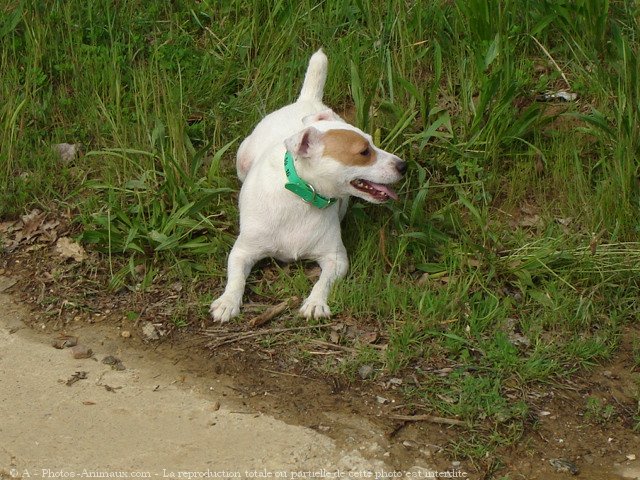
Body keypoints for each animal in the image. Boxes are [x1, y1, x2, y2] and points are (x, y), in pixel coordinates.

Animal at [212, 48, 408, 322]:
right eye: (364, 152)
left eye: (373, 143)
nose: (403, 165)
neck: (302, 195)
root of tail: (307, 100)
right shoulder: (242, 252)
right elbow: (236, 278)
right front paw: (228, 301)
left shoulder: (336, 258)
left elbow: (323, 282)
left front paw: (315, 302)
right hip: (242, 160)